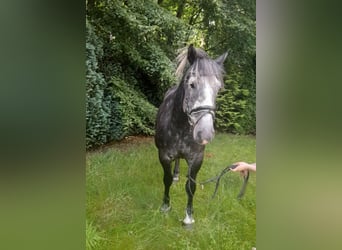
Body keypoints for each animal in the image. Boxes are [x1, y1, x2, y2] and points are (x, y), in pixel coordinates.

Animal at [155, 44, 227, 225]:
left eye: (218, 88)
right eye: (192, 84)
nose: (205, 133)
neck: (180, 127)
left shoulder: (196, 159)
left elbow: (191, 186)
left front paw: (188, 217)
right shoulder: (163, 155)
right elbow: (166, 179)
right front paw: (165, 206)